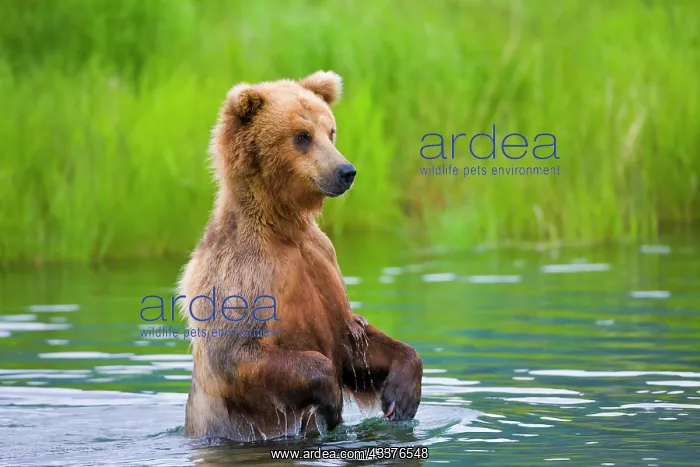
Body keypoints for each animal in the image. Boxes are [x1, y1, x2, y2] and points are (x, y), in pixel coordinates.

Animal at [177, 70, 423, 441]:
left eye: (330, 130)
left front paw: (401, 394)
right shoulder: (243, 275)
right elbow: (239, 353)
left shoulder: (321, 263)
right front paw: (332, 399)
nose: (346, 171)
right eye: (302, 136)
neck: (283, 226)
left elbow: (353, 342)